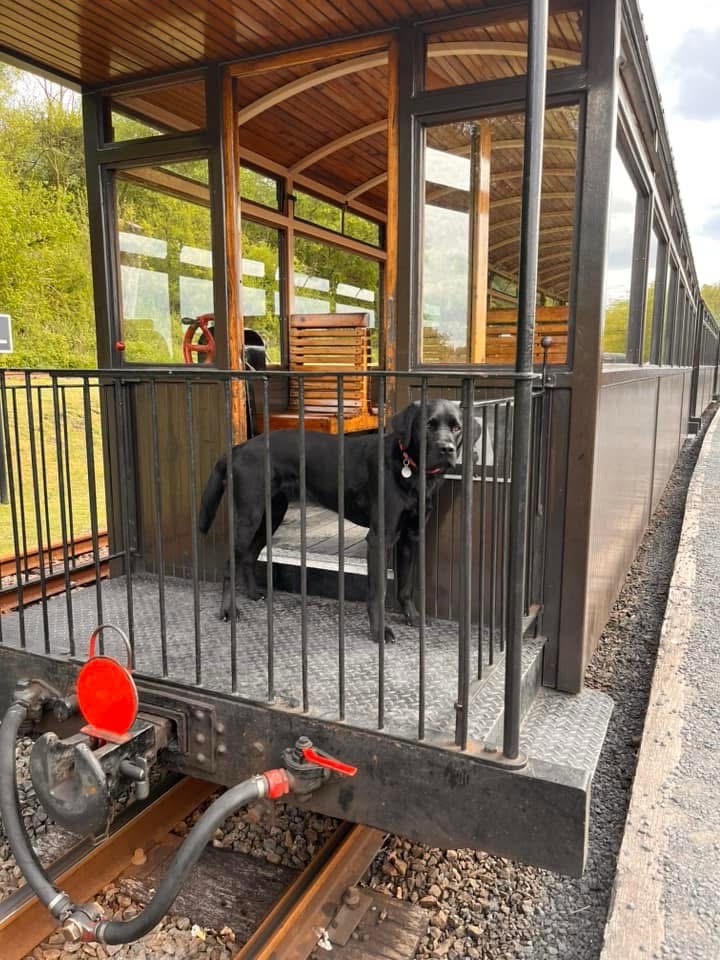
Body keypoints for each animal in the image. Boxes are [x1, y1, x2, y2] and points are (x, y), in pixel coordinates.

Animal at [198, 399, 462, 643]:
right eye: (428, 425)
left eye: (456, 427)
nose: (447, 449)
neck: (409, 467)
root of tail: (239, 447)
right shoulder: (380, 538)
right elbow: (378, 592)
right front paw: (380, 632)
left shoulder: (411, 535)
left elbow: (406, 586)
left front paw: (413, 618)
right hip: (249, 517)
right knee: (229, 565)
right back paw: (228, 611)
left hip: (272, 515)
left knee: (249, 555)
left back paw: (254, 594)